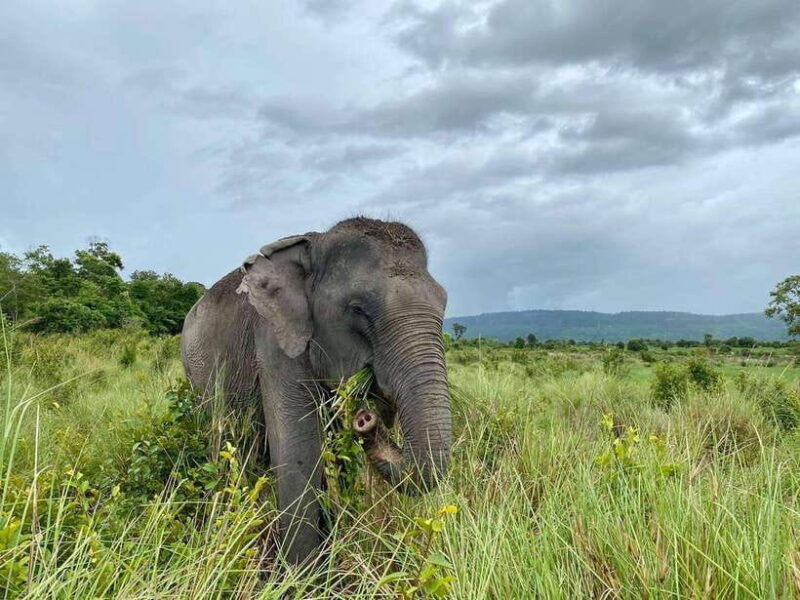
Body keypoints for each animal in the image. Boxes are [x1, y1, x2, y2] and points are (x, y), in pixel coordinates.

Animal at [180, 217, 451, 563]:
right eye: (358, 309)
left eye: (444, 303)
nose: (366, 417)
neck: (315, 246)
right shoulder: (275, 341)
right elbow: (299, 449)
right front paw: (302, 572)